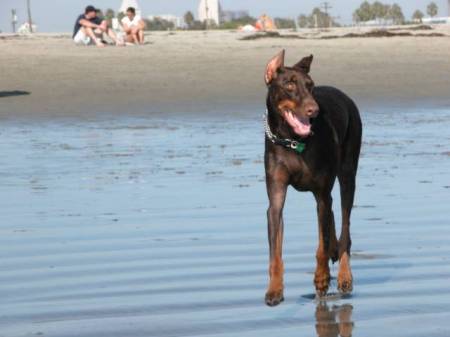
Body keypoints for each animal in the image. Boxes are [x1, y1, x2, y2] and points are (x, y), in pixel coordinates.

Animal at [264, 50, 362, 304]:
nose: (314, 110)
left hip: (348, 174)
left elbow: (320, 247)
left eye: (311, 85)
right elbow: (275, 253)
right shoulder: (276, 198)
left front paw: (321, 279)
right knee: (333, 217)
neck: (292, 140)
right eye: (289, 84)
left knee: (344, 226)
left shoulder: (321, 193)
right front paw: (274, 289)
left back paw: (344, 276)